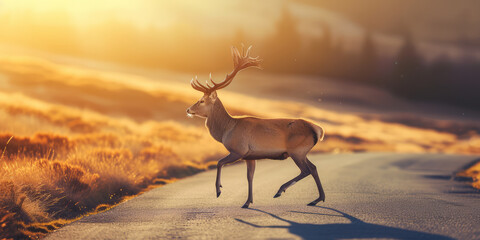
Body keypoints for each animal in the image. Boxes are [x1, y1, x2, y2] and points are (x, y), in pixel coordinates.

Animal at [186, 46, 324, 207]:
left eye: (202, 100)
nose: (188, 110)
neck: (226, 130)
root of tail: (317, 129)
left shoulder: (239, 150)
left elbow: (219, 162)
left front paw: (218, 190)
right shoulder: (250, 156)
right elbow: (249, 177)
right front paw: (248, 201)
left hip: (297, 150)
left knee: (306, 170)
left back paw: (280, 191)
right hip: (302, 152)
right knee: (313, 168)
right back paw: (317, 199)